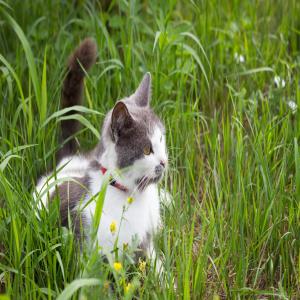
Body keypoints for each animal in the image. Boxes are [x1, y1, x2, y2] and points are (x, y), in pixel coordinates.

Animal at [34, 38, 169, 270]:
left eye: (161, 140)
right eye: (147, 149)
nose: (164, 162)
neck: (130, 197)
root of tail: (68, 158)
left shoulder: (145, 242)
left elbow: (155, 262)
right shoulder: (85, 240)